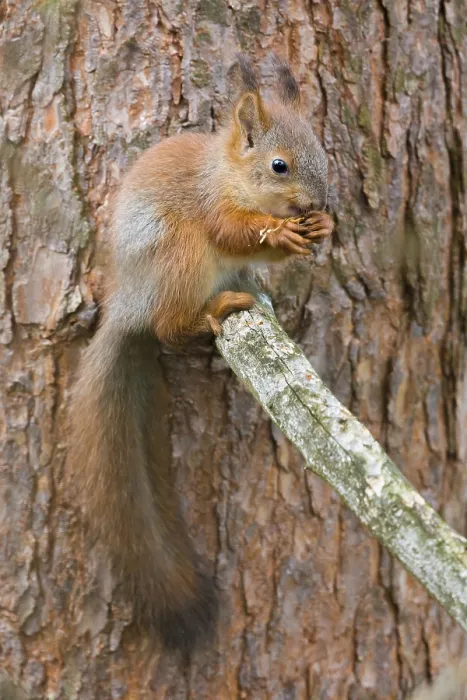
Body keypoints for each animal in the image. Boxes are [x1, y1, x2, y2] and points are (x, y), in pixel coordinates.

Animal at [67, 54, 334, 654]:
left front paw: (320, 228)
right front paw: (278, 233)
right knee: (169, 328)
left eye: (322, 152)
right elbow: (233, 232)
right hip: (180, 252)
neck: (228, 173)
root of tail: (129, 304)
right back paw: (218, 307)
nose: (319, 204)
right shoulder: (210, 207)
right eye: (280, 165)